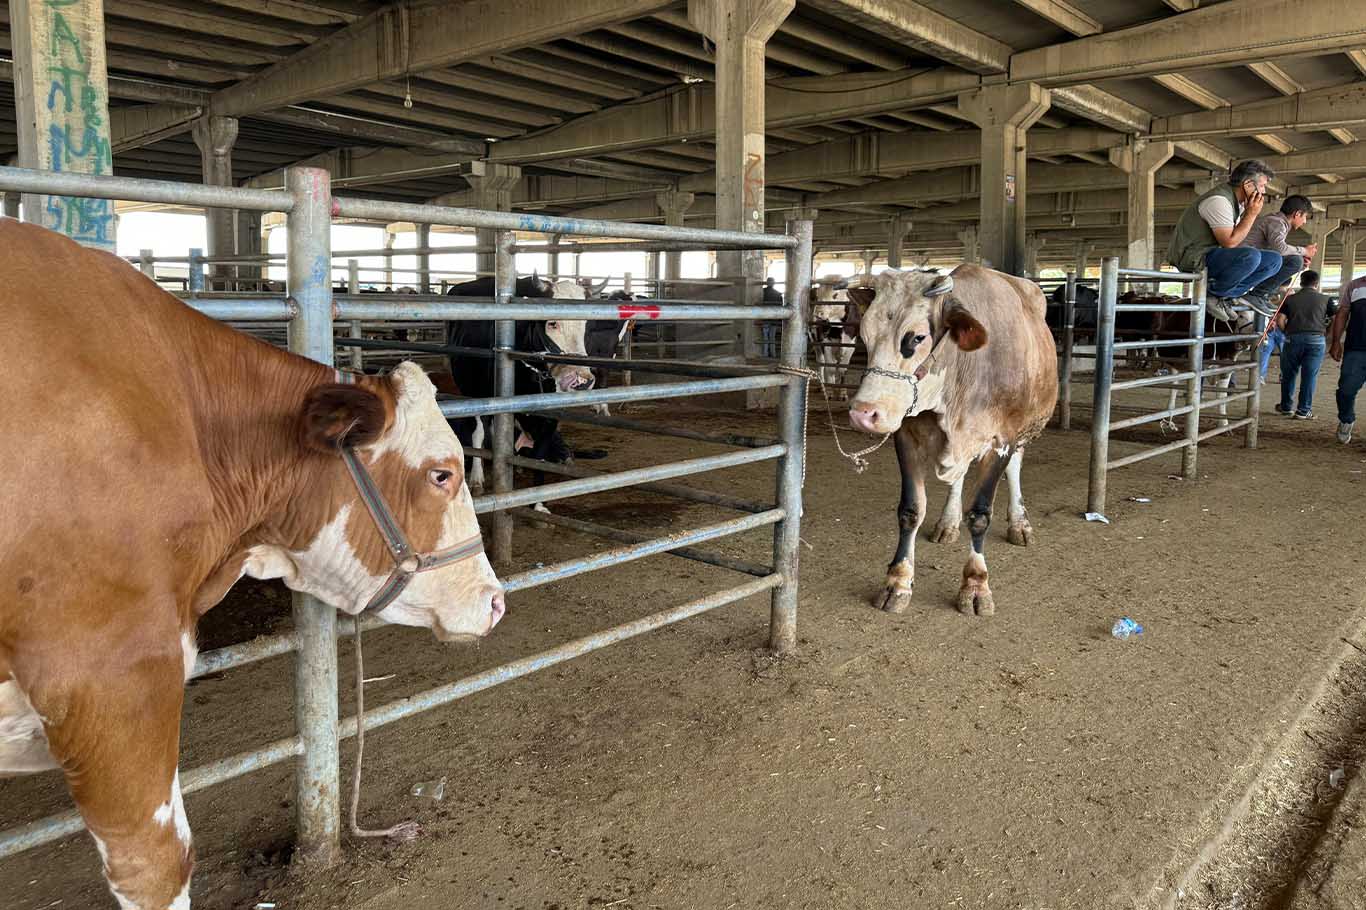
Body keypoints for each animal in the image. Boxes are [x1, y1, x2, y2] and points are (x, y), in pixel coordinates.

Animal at [846, 266, 1060, 612]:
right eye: (865, 336)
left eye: (917, 337)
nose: (864, 413)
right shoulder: (906, 437)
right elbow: (911, 510)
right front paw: (898, 582)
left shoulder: (1001, 440)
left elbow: (980, 515)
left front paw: (975, 584)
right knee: (957, 477)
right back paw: (948, 523)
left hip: (1025, 429)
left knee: (1015, 469)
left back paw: (1019, 523)